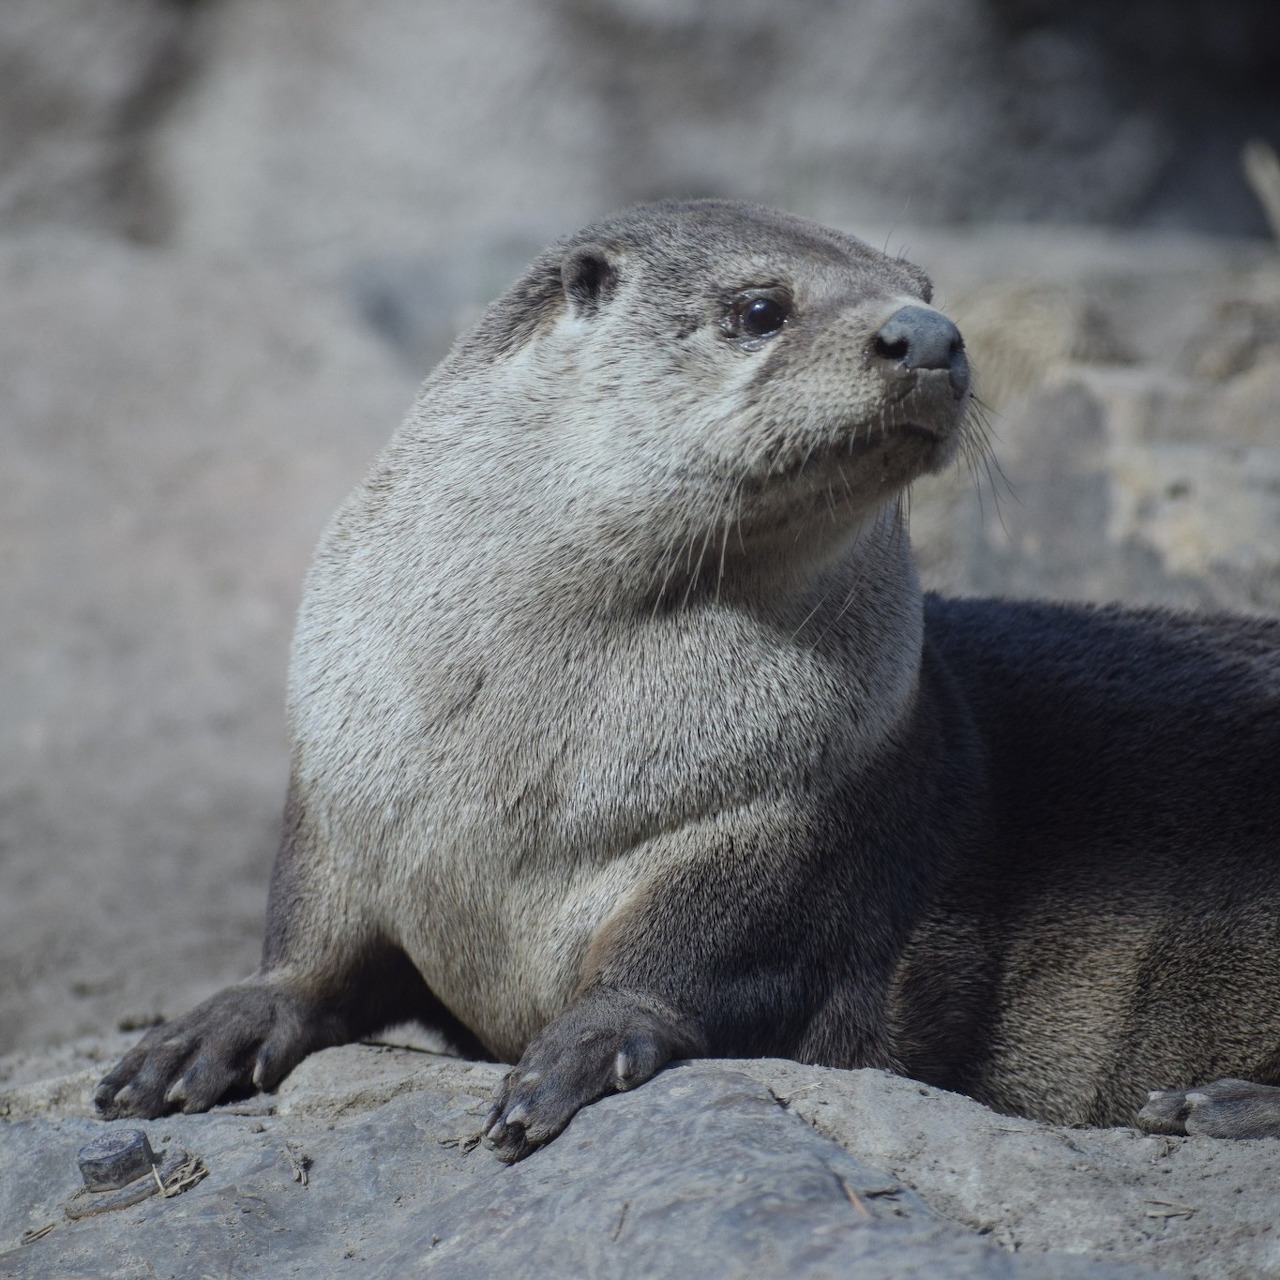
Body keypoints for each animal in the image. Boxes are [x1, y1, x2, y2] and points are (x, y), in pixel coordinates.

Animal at [96, 200, 1280, 1159]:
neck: (523, 786)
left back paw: (1215, 1103)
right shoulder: (341, 773)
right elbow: (312, 936)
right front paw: (214, 1027)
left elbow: (698, 955)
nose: (930, 335)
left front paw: (586, 1044)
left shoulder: (788, 816)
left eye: (927, 288)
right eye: (758, 307)